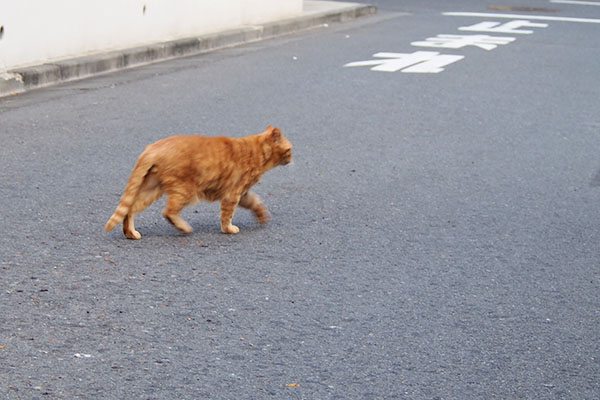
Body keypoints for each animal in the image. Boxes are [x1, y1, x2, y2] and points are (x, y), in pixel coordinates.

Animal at [105, 126, 292, 238]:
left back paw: (130, 233)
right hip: (185, 190)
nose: (292, 158)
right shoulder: (233, 194)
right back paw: (184, 228)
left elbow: (256, 203)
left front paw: (262, 216)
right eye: (290, 150)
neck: (256, 152)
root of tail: (152, 147)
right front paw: (228, 229)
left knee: (130, 209)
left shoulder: (243, 193)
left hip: (151, 189)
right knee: (168, 212)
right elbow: (227, 215)